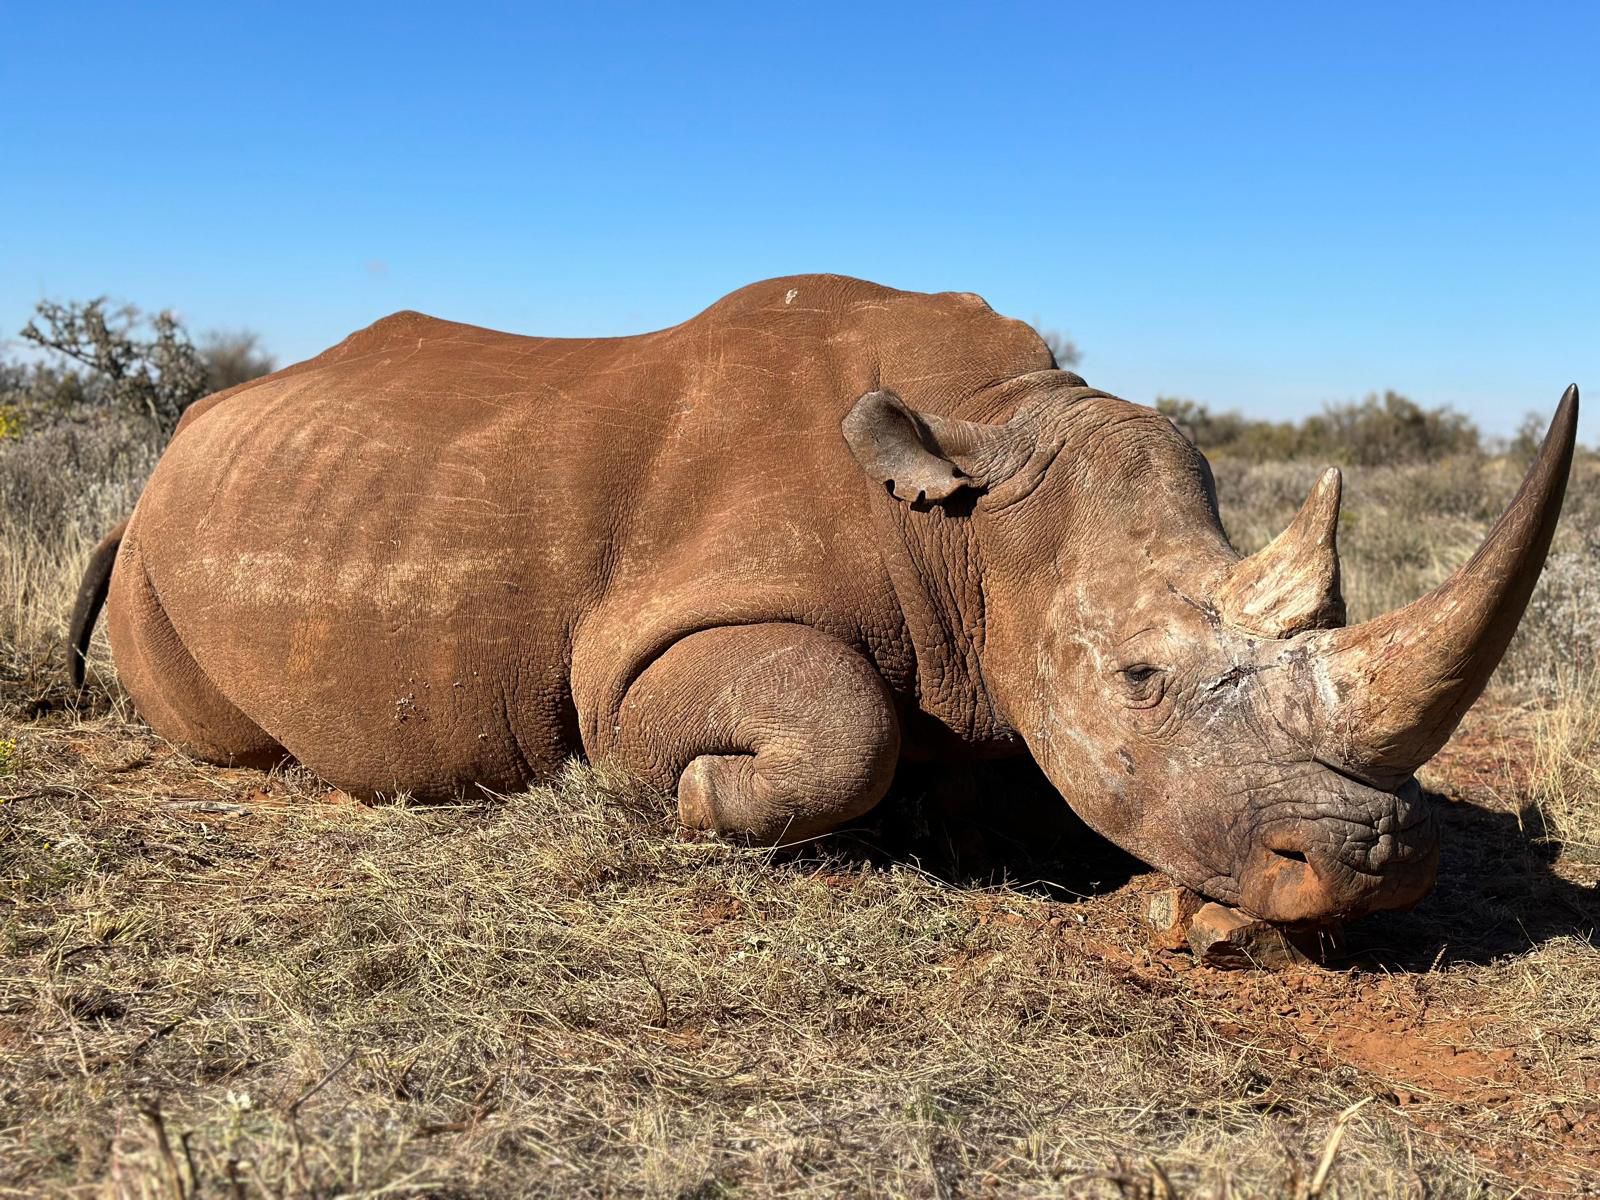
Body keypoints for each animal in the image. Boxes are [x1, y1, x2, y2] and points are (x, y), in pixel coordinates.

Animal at [68, 275, 1578, 925]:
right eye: (1138, 678)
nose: (1374, 867)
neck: (981, 489)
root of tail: (183, 438)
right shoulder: (640, 650)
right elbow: (833, 716)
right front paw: (695, 803)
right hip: (157, 542)